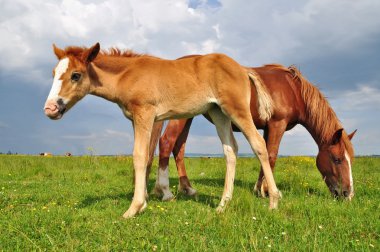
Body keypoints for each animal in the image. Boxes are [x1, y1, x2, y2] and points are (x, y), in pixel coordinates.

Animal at [43, 43, 282, 219]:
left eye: (75, 75)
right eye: (54, 73)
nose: (50, 108)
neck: (129, 75)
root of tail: (243, 68)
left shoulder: (145, 114)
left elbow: (139, 155)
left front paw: (134, 208)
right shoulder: (136, 119)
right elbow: (147, 154)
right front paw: (144, 201)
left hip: (236, 109)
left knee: (258, 144)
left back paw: (273, 200)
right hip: (219, 113)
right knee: (230, 150)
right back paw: (223, 205)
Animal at [149, 64, 356, 201]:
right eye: (337, 159)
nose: (348, 193)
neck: (293, 90)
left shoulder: (267, 127)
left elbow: (264, 155)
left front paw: (260, 189)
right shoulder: (277, 125)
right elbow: (271, 156)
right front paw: (268, 192)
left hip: (187, 116)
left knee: (179, 148)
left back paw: (188, 189)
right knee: (167, 142)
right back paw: (165, 192)